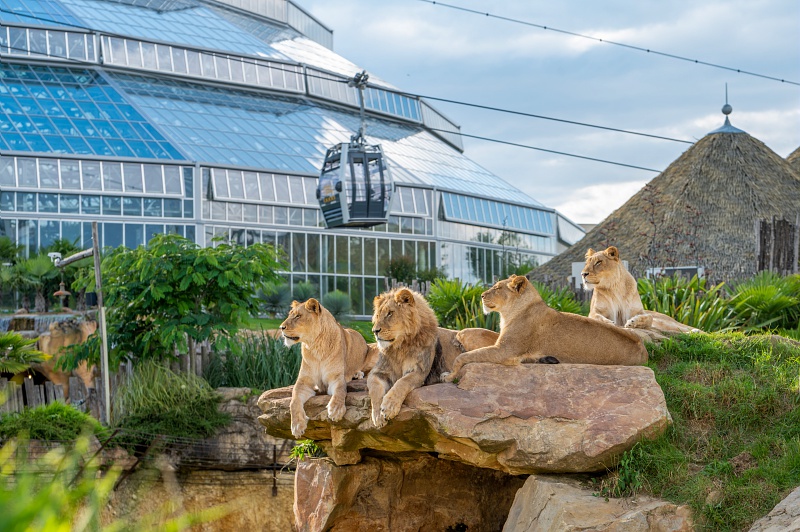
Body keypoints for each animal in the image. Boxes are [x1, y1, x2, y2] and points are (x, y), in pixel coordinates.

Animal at [282, 298, 376, 438]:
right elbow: (293, 400)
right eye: (290, 315)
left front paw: (336, 410)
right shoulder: (303, 382)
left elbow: (340, 390)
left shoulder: (336, 378)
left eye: (298, 316)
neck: (315, 346)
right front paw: (297, 425)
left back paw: (358, 374)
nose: (281, 327)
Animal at [368, 286, 440, 428]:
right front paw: (378, 415)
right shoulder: (377, 372)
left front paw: (389, 407)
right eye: (377, 315)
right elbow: (375, 389)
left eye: (390, 313)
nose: (375, 331)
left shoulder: (419, 371)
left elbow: (402, 382)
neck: (399, 347)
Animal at [440, 274, 648, 382]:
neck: (509, 313)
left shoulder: (505, 351)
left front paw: (448, 376)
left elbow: (463, 357)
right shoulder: (503, 345)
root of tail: (644, 350)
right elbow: (478, 341)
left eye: (498, 288)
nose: (482, 295)